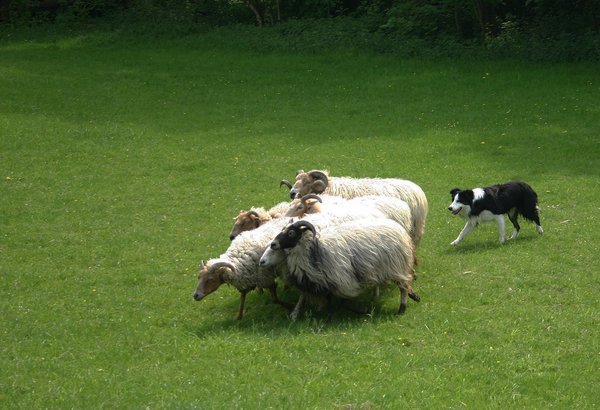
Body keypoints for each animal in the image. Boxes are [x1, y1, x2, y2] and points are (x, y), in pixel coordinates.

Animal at [260, 218, 420, 320]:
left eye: (291, 233)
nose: (273, 244)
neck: (312, 250)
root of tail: (400, 229)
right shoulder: (326, 281)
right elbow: (329, 300)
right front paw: (328, 317)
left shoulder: (343, 280)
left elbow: (343, 302)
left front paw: (362, 310)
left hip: (396, 266)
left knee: (403, 287)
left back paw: (401, 309)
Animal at [282, 170, 426, 247]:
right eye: (296, 180)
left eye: (307, 182)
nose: (292, 193)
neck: (330, 187)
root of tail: (418, 190)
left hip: (414, 230)